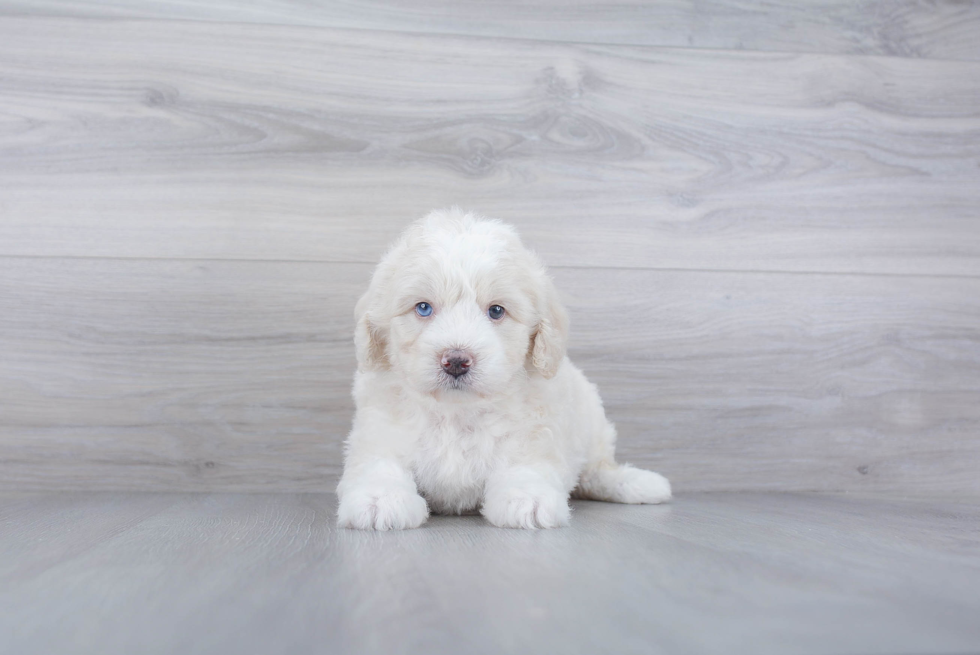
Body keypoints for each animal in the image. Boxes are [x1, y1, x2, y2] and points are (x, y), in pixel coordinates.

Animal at [334, 208, 668, 532]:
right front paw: (380, 499)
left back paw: (639, 483)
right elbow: (379, 463)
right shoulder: (380, 430)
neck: (457, 413)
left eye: (496, 311)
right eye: (423, 308)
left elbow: (524, 464)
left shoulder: (533, 433)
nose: (456, 360)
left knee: (597, 470)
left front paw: (527, 498)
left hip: (592, 423)